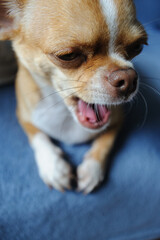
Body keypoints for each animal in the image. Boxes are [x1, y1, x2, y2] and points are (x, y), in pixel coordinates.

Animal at [0, 0, 148, 193]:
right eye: (68, 56)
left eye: (137, 47)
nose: (128, 78)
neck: (65, 113)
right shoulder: (24, 117)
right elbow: (39, 136)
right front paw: (54, 167)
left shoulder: (118, 120)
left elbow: (106, 142)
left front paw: (92, 170)